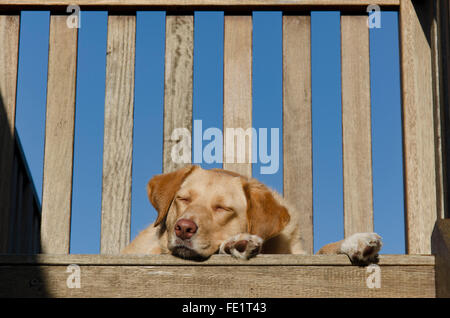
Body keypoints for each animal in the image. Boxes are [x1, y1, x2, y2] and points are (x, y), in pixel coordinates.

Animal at [121, 164, 382, 264]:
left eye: (223, 208)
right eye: (183, 199)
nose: (183, 228)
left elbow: (323, 249)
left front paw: (356, 242)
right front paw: (234, 244)